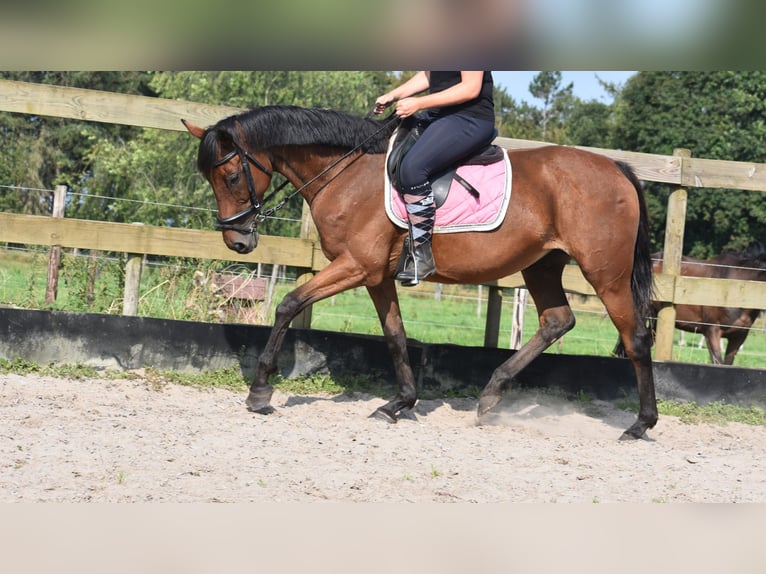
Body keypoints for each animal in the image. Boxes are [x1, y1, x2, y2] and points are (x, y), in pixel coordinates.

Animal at [183, 106, 656, 440]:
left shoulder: (356, 265)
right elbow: (395, 335)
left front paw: (260, 391)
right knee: (558, 320)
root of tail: (617, 169)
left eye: (230, 176)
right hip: (542, 264)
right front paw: (399, 404)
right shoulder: (376, 276)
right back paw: (490, 395)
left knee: (635, 337)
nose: (237, 242)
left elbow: (289, 304)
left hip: (606, 273)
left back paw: (640, 424)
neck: (348, 173)